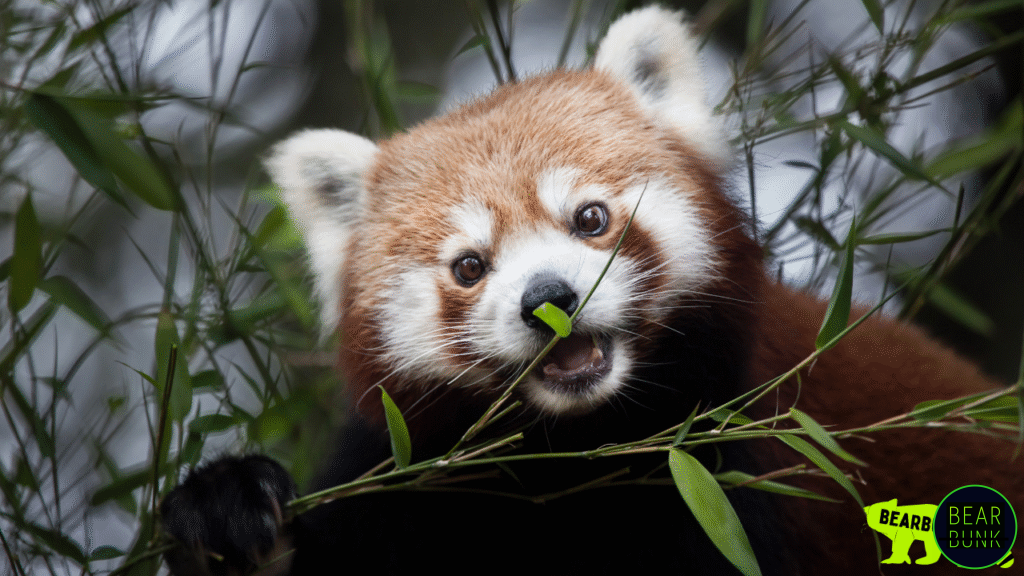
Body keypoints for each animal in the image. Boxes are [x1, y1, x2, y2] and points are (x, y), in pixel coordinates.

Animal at [160, 6, 1022, 575]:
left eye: (590, 219)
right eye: (469, 266)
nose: (549, 299)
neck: (570, 454)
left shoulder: (727, 465)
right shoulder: (412, 478)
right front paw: (226, 511)